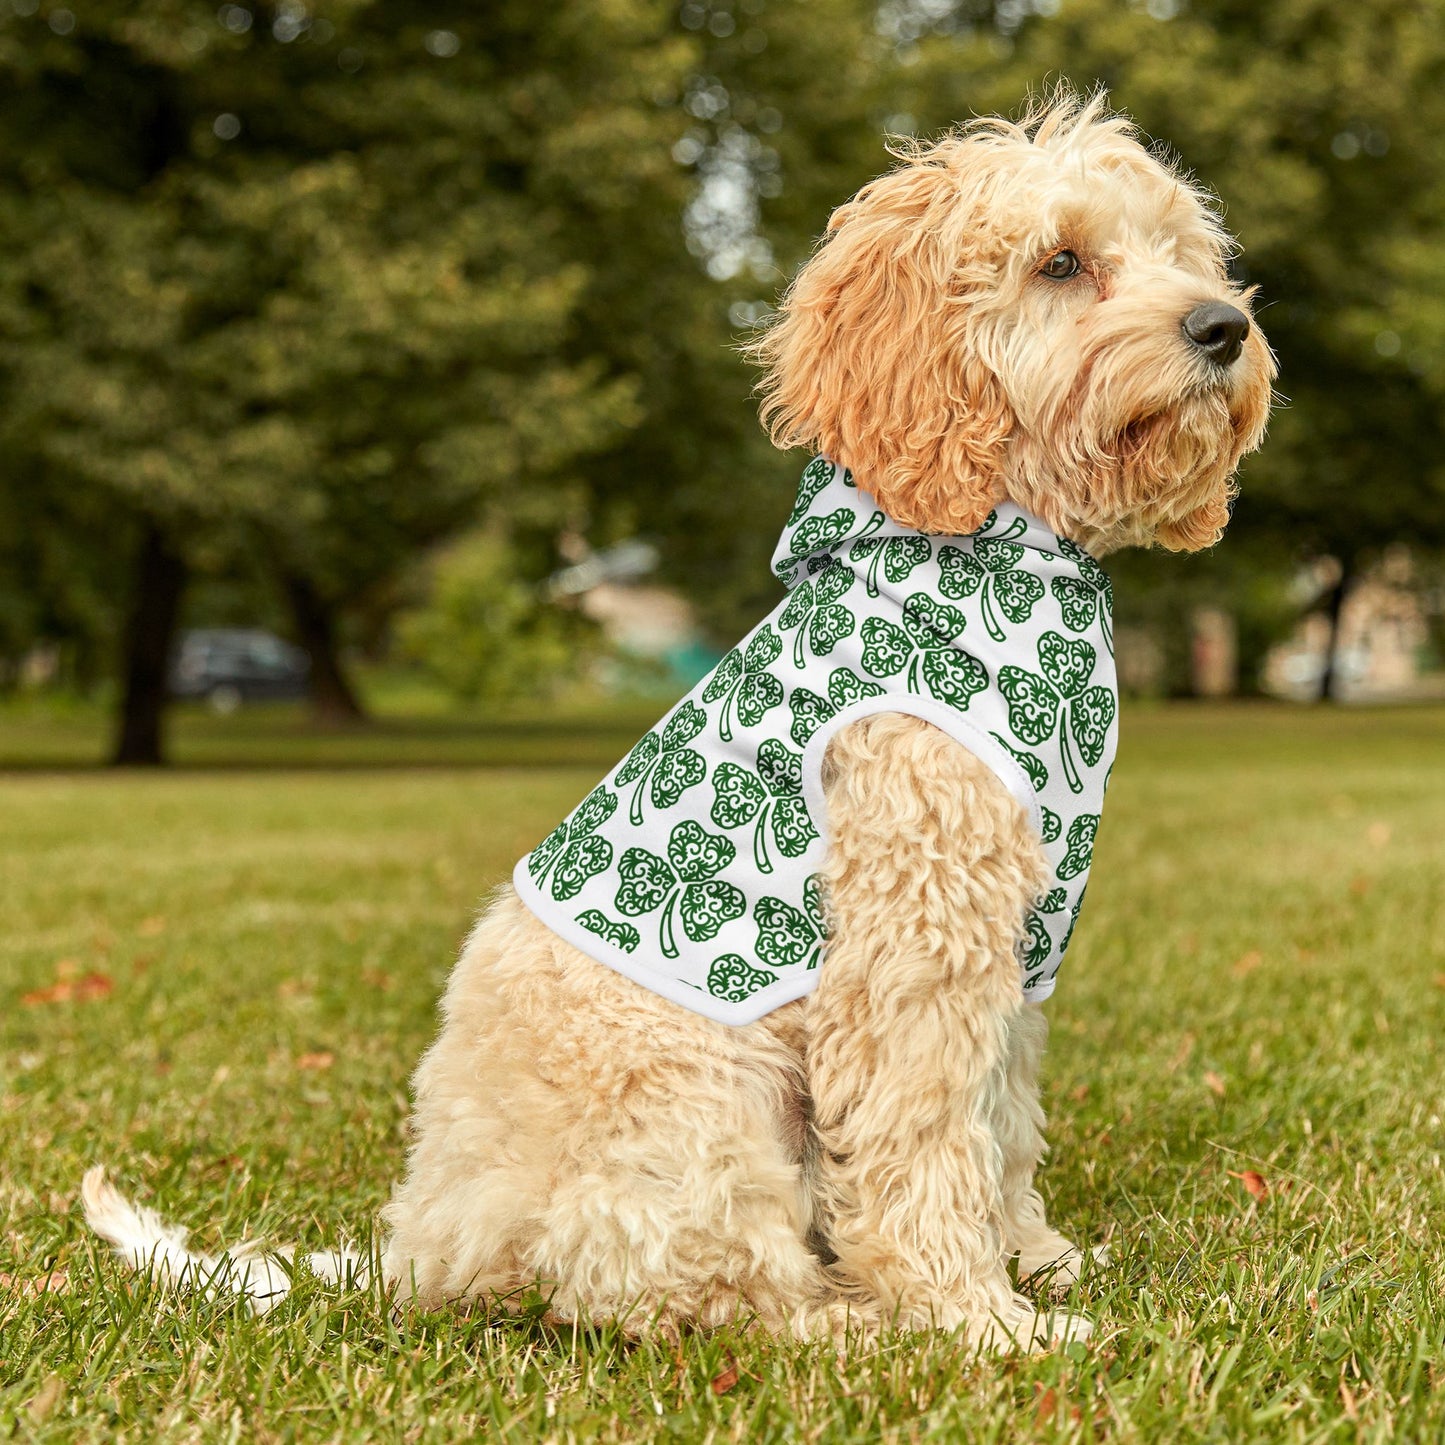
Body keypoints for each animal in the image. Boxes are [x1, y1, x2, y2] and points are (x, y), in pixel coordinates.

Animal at [84, 93, 1271, 1352]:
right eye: (1059, 262)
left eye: (1181, 253)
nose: (1222, 327)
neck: (997, 552)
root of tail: (423, 1247)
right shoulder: (912, 941)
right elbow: (923, 1140)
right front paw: (976, 1319)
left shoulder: (1012, 950)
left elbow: (999, 1124)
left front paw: (1035, 1260)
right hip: (702, 1103)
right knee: (700, 1291)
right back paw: (852, 1322)